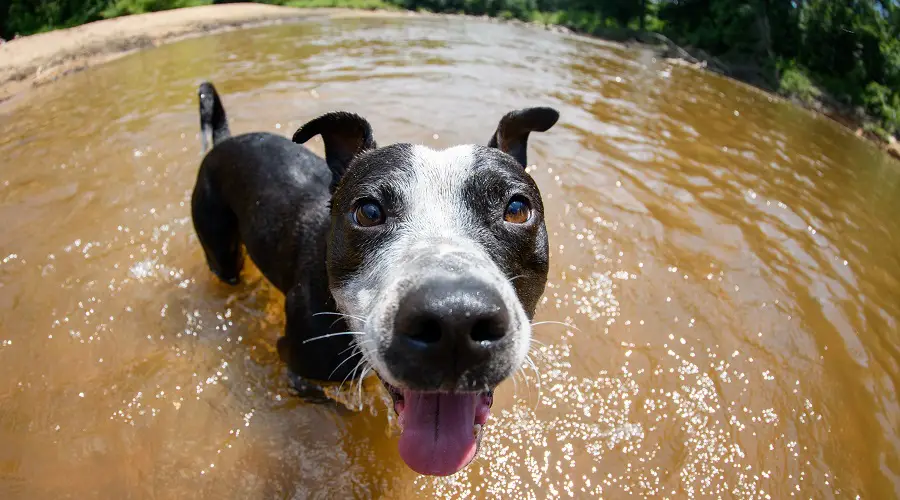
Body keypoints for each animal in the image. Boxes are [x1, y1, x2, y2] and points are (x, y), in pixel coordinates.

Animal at [190, 82, 556, 476]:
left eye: (516, 209)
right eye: (367, 212)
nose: (454, 319)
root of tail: (224, 141)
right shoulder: (298, 371)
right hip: (221, 251)